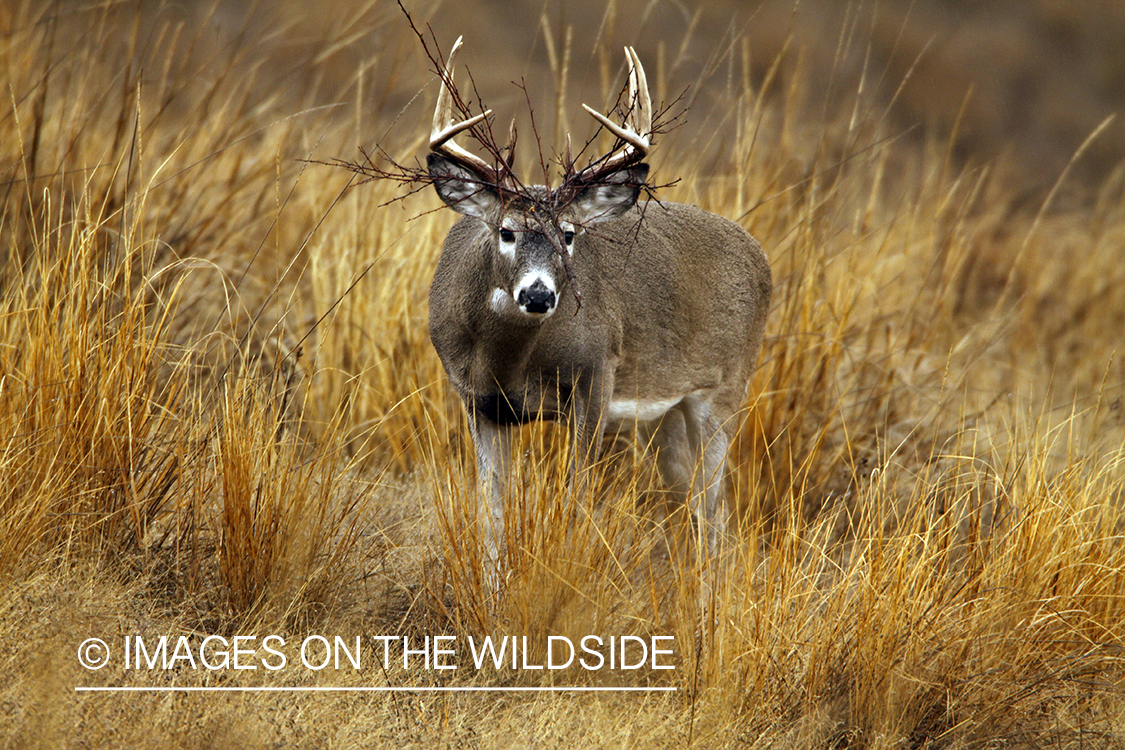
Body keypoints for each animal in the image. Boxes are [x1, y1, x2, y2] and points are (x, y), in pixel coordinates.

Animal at [423, 39, 774, 568]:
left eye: (569, 235)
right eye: (506, 231)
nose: (539, 294)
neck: (508, 362)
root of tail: (761, 258)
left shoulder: (595, 378)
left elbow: (576, 500)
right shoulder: (478, 400)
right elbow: (490, 515)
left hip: (726, 389)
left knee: (717, 514)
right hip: (665, 413)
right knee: (693, 505)